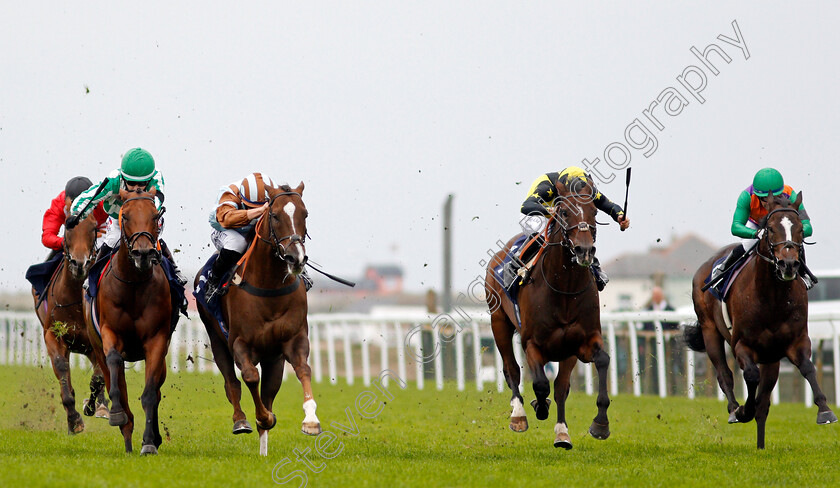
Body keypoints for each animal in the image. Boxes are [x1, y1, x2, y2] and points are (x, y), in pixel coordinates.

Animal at [30, 214, 108, 434]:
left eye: (93, 228)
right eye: (67, 227)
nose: (79, 263)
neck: (75, 299)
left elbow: (98, 377)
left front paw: (92, 406)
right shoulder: (53, 335)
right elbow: (61, 366)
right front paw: (74, 419)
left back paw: (102, 406)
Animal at [84, 189, 173, 456]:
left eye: (156, 216)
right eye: (125, 216)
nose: (143, 254)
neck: (133, 284)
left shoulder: (157, 340)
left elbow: (150, 394)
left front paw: (150, 442)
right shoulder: (109, 333)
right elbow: (115, 368)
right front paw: (116, 414)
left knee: (156, 389)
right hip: (96, 347)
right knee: (112, 378)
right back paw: (125, 433)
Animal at [196, 181, 322, 456]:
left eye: (305, 214)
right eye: (274, 215)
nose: (296, 258)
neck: (270, 286)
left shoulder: (293, 340)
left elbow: (303, 370)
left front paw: (310, 420)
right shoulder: (240, 342)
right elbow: (250, 376)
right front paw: (262, 418)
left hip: (272, 358)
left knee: (268, 392)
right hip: (216, 339)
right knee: (232, 382)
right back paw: (242, 420)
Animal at [486, 176, 612, 450]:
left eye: (595, 212)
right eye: (563, 212)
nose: (584, 250)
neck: (564, 288)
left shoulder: (580, 342)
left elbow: (598, 363)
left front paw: (599, 424)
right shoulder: (532, 342)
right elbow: (540, 384)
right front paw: (538, 407)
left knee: (560, 386)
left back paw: (562, 433)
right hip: (498, 322)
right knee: (511, 369)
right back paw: (519, 415)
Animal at [684, 192, 836, 450]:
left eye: (800, 229)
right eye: (771, 228)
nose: (788, 264)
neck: (772, 297)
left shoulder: (795, 341)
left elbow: (807, 367)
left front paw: (825, 411)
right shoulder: (742, 345)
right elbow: (750, 376)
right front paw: (744, 410)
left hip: (771, 358)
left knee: (764, 403)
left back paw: (761, 446)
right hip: (709, 330)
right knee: (724, 374)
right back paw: (734, 409)